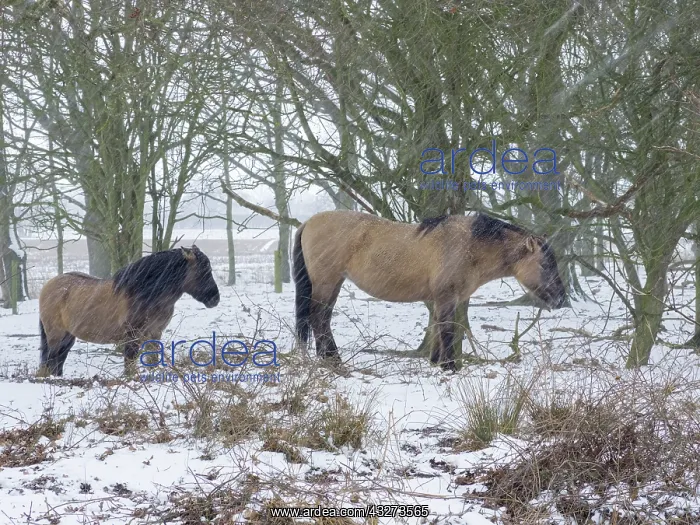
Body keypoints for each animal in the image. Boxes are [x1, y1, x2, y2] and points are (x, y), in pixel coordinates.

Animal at [37, 245, 220, 377]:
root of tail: (48, 286)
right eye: (203, 270)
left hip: (68, 336)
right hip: (56, 335)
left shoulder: (155, 333)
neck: (144, 292)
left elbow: (153, 358)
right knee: (52, 360)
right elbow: (130, 362)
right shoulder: (133, 334)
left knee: (58, 361)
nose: (215, 299)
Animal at [292, 211, 567, 371]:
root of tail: (309, 222)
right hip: (326, 282)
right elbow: (447, 330)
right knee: (318, 318)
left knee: (323, 318)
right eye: (545, 264)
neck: (468, 246)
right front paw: (449, 366)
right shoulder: (447, 297)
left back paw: (329, 358)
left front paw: (436, 362)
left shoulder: (441, 299)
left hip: (334, 283)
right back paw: (331, 360)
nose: (561, 299)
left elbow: (437, 328)